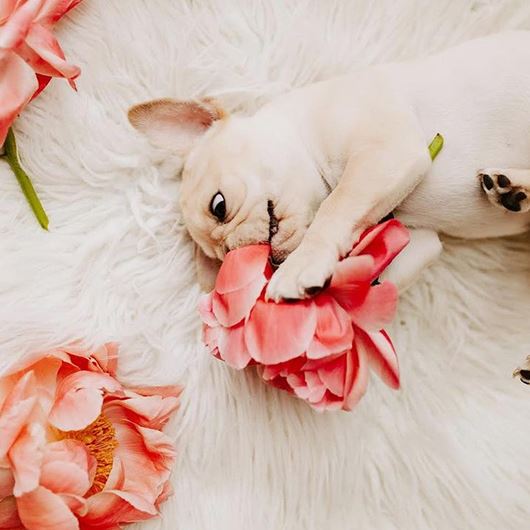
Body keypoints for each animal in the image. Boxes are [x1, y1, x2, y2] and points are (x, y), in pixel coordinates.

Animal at [128, 31, 528, 300]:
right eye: (226, 257)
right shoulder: (417, 237)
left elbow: (335, 209)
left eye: (219, 206)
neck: (305, 132)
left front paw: (302, 265)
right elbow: (387, 269)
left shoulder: (387, 151)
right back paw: (513, 191)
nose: (238, 251)